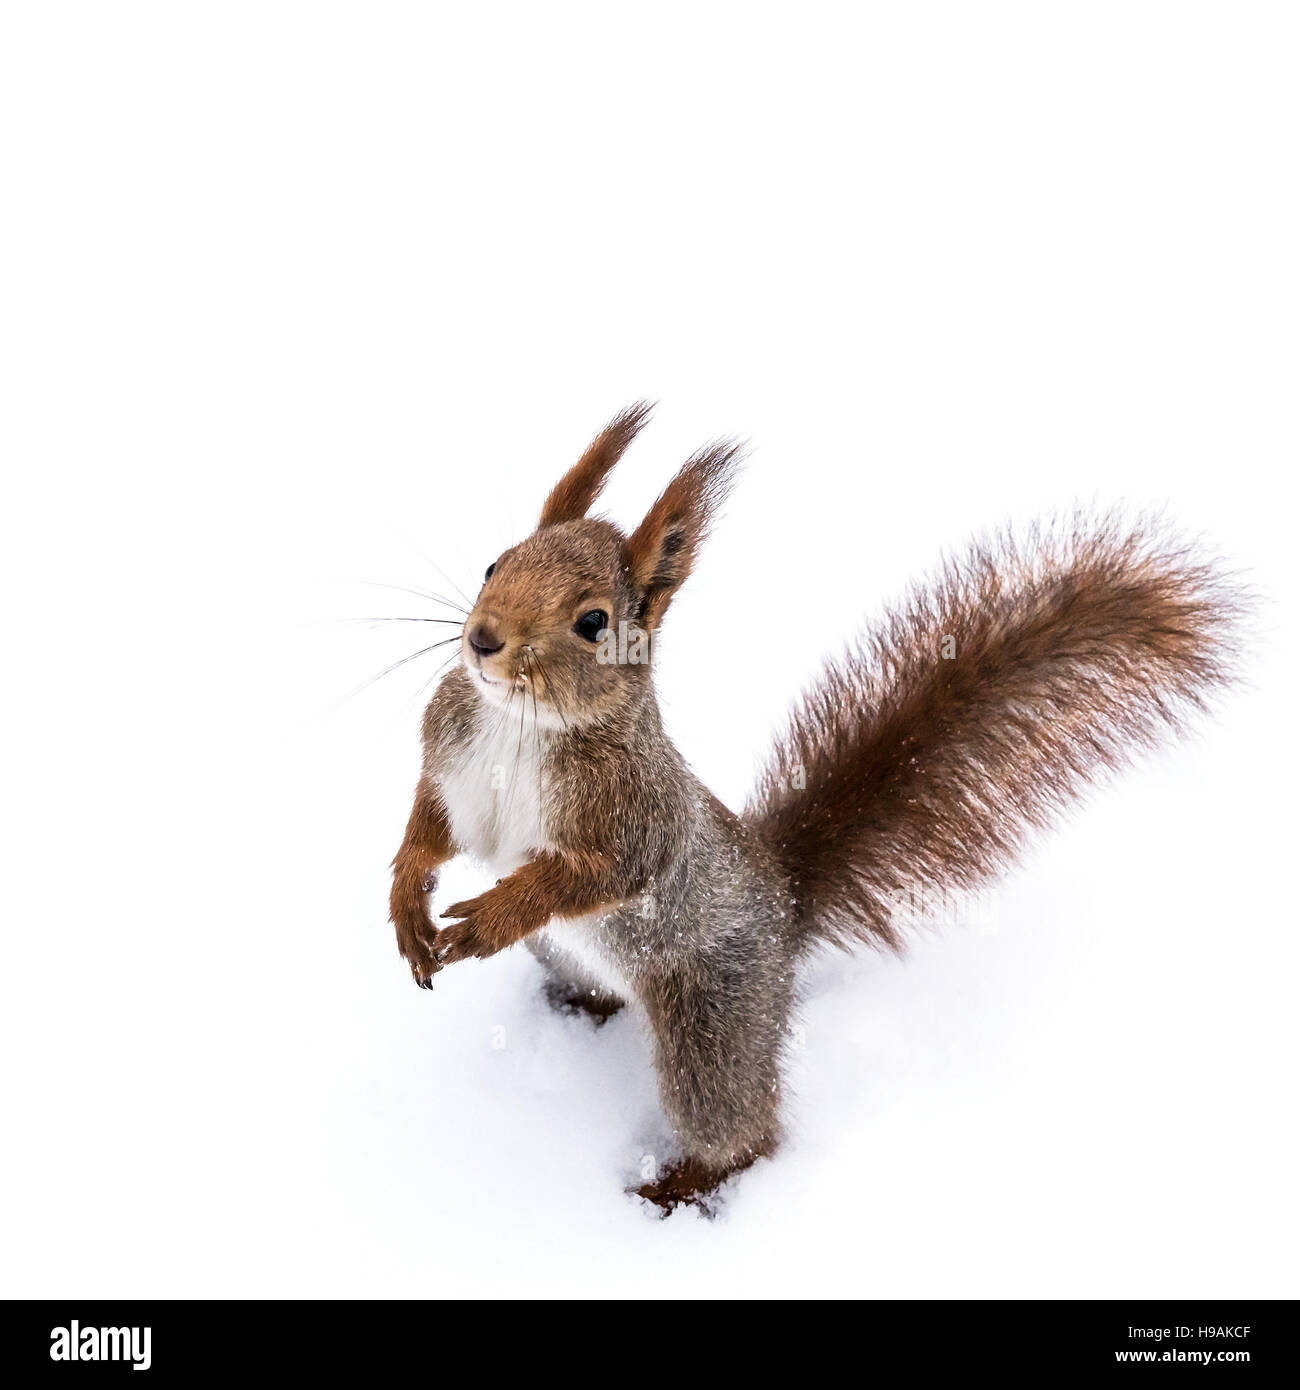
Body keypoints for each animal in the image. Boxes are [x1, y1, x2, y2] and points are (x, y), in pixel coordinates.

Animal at [388, 403, 1246, 1214]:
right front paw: (407, 907)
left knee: (740, 1127)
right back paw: (571, 1011)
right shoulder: (451, 755)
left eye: (593, 621)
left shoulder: (636, 817)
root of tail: (785, 898)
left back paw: (679, 1190)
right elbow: (428, 830)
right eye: (495, 562)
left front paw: (491, 915)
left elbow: (594, 876)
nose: (483, 640)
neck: (518, 726)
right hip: (572, 956)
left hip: (717, 1021)